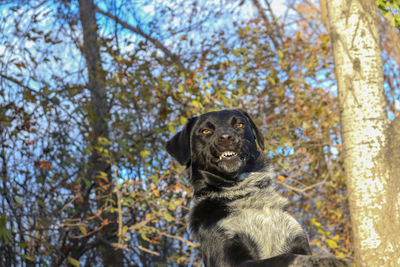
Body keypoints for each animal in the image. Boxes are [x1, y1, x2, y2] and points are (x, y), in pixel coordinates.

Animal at [166, 110, 350, 266]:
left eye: (240, 124)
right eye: (205, 131)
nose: (226, 137)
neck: (242, 193)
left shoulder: (296, 237)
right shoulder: (228, 256)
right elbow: (287, 257)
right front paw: (328, 260)